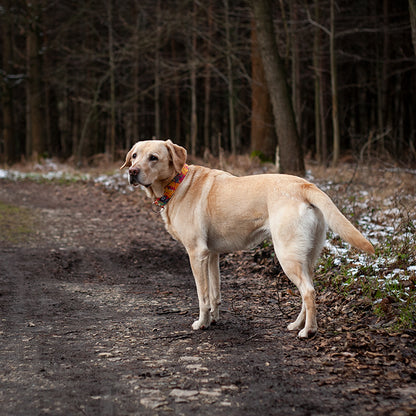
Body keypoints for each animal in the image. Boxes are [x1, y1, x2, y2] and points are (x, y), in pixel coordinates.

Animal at [120, 140, 374, 338]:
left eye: (153, 158)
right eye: (134, 156)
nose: (132, 172)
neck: (178, 183)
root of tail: (305, 184)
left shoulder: (196, 253)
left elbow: (202, 295)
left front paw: (202, 323)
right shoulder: (211, 255)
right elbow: (215, 293)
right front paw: (214, 319)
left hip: (287, 255)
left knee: (309, 292)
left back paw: (308, 331)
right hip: (306, 257)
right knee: (309, 290)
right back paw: (296, 324)